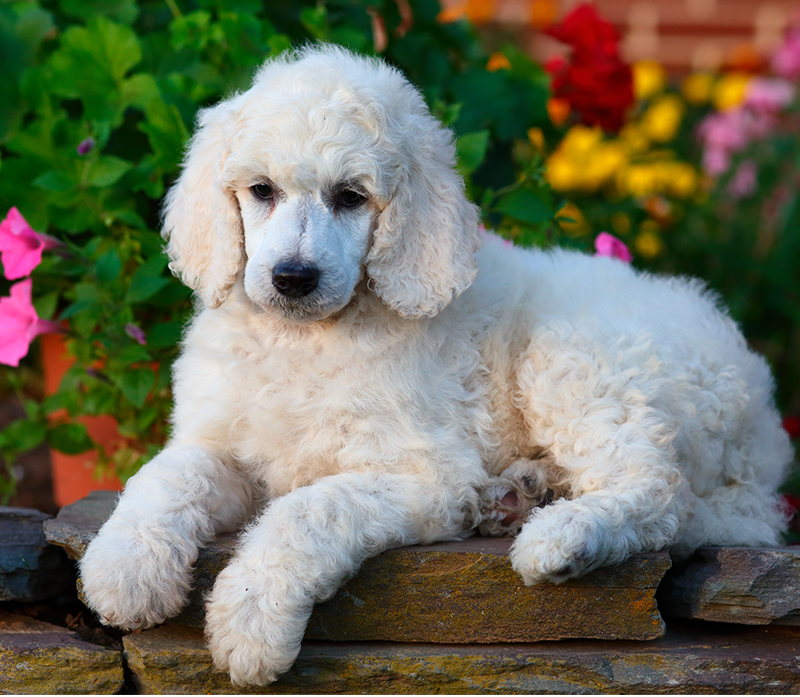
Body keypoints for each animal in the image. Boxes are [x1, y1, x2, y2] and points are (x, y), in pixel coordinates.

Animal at [78, 44, 792, 684]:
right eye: (261, 190)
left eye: (351, 197)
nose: (293, 278)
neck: (306, 340)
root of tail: (760, 414)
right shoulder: (226, 442)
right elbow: (166, 475)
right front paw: (124, 567)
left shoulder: (426, 473)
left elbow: (309, 510)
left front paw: (250, 621)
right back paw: (516, 494)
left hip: (578, 359)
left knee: (658, 492)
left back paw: (562, 537)